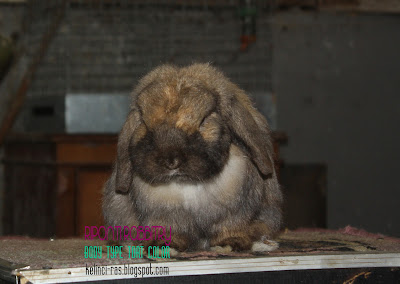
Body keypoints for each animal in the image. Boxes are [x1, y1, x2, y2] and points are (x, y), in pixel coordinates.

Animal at [103, 63, 284, 253]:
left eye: (204, 120)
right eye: (144, 123)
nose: (171, 161)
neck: (188, 183)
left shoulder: (234, 213)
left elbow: (230, 227)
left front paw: (230, 244)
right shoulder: (164, 216)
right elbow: (168, 229)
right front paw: (163, 246)